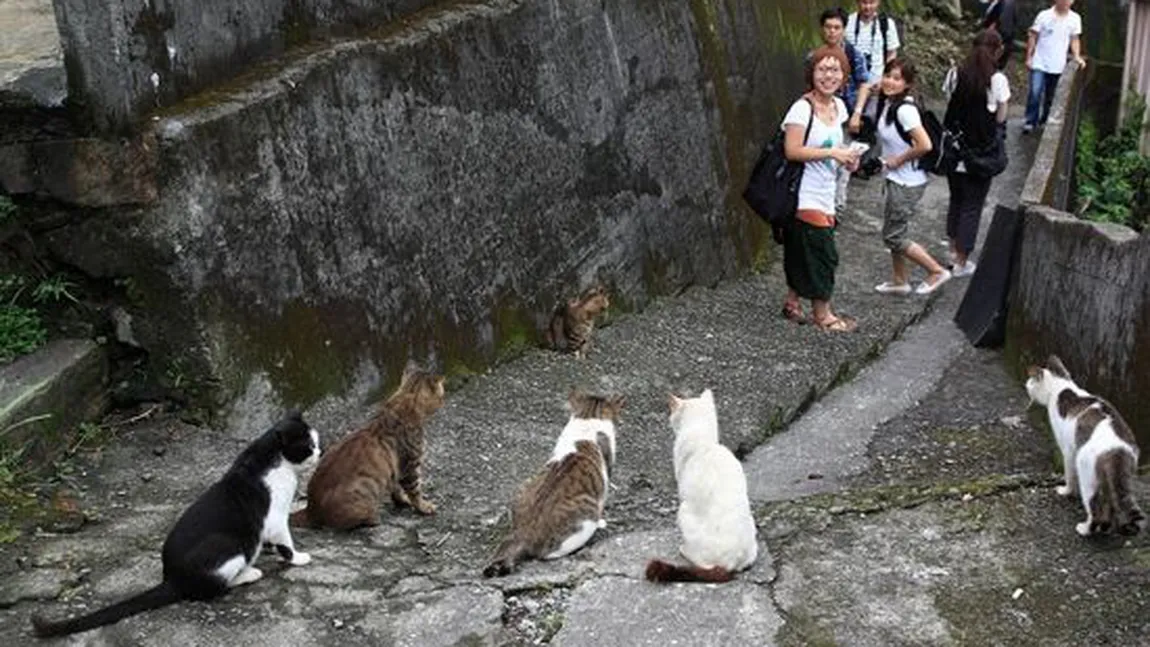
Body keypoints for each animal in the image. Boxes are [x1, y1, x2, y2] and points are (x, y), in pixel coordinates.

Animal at [32, 409, 319, 638]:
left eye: (316, 442)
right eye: (308, 446)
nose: (320, 451)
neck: (268, 458)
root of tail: (171, 578)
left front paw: (271, 550)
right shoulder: (275, 518)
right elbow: (285, 542)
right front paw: (298, 558)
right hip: (229, 544)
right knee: (210, 588)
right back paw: (248, 573)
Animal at [289, 363, 446, 528]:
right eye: (442, 395)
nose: (444, 401)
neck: (406, 397)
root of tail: (310, 510)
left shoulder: (396, 469)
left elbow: (396, 489)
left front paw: (402, 500)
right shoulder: (410, 465)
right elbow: (415, 491)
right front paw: (423, 506)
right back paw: (372, 518)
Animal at [485, 390, 630, 576]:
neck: (588, 417)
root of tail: (523, 532)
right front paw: (603, 522)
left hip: (523, 487)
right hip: (585, 518)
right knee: (545, 553)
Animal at [1030, 353, 1145, 537]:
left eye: (1030, 382)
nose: (1026, 384)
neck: (1061, 387)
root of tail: (1117, 450)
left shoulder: (1068, 451)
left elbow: (1069, 475)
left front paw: (1066, 491)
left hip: (1087, 473)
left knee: (1095, 508)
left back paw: (1085, 529)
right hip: (1112, 478)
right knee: (1108, 503)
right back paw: (1106, 527)